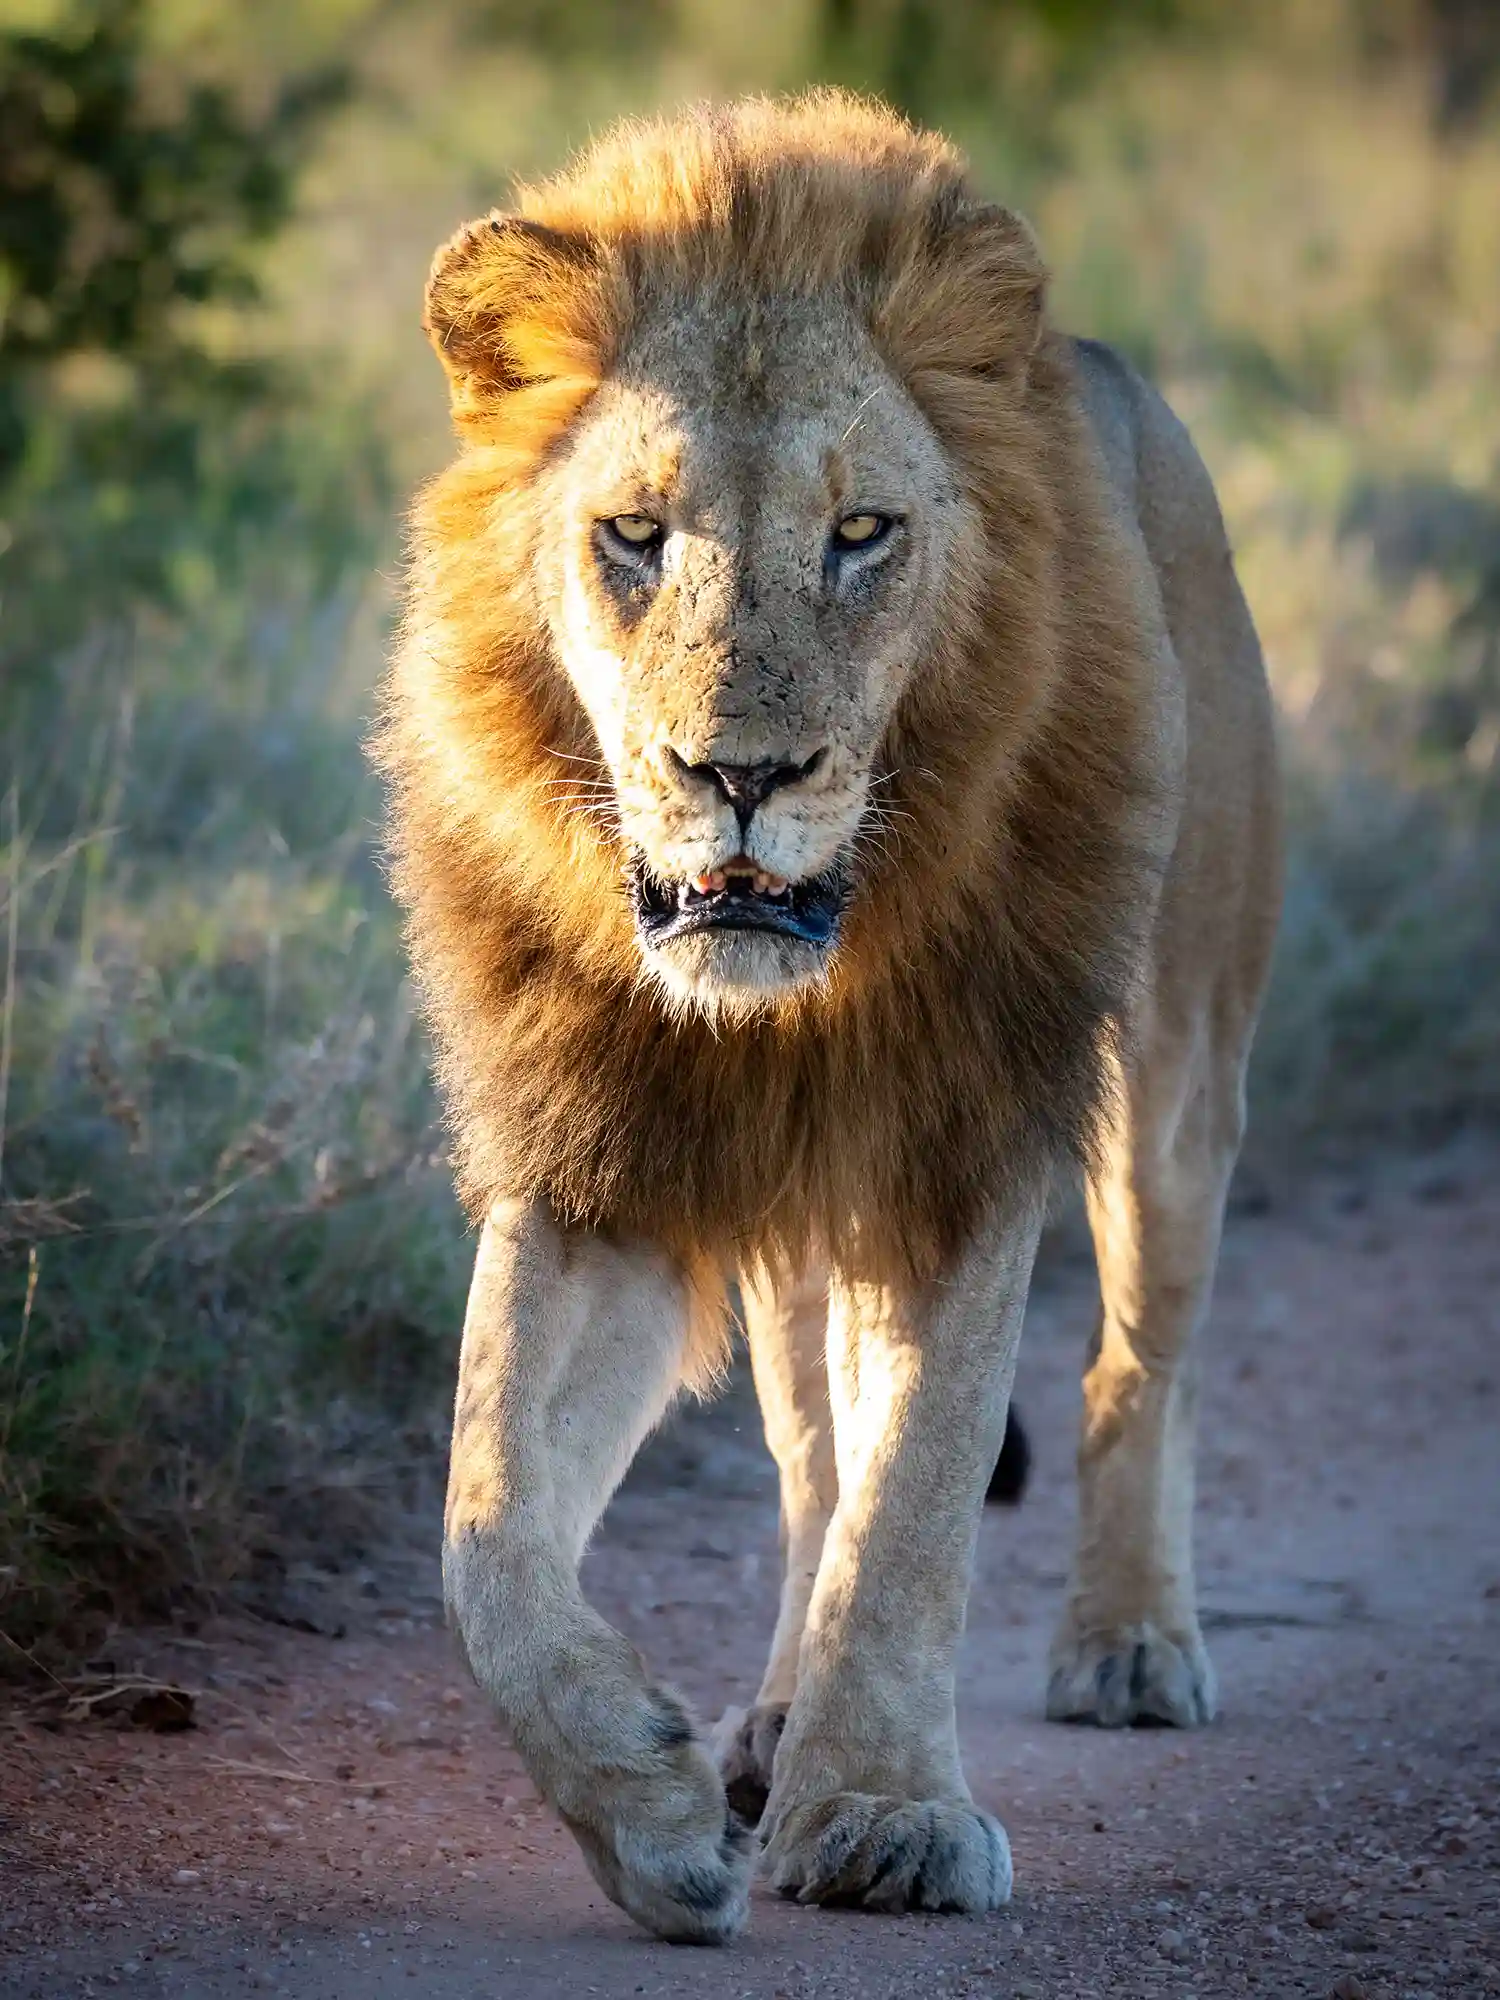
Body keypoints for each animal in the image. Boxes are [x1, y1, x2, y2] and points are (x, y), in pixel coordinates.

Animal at [375, 92, 1281, 1943]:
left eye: (862, 534)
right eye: (634, 535)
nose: (739, 775)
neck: (783, 1012)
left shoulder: (968, 1137)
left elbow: (919, 1498)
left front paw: (883, 1818)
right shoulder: (601, 1167)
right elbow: (484, 1523)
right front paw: (647, 1813)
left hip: (1175, 1072)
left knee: (1133, 1366)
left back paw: (1130, 1646)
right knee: (809, 1455)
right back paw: (772, 1723)